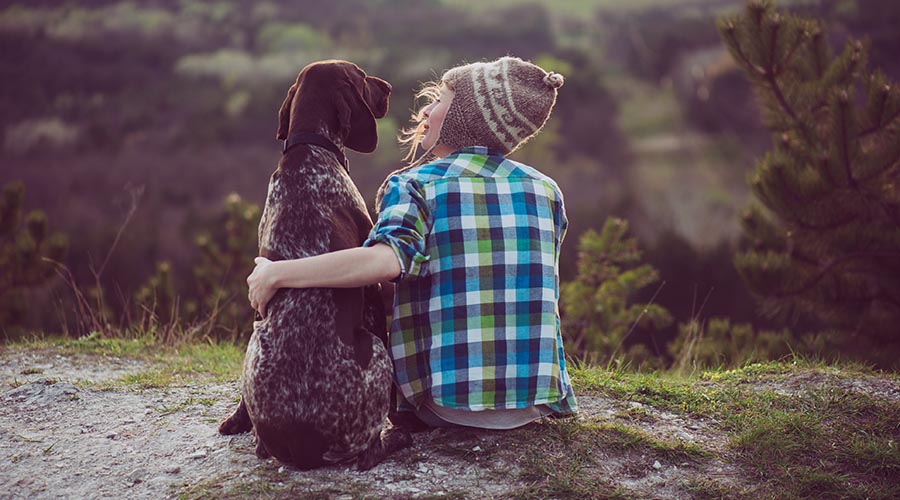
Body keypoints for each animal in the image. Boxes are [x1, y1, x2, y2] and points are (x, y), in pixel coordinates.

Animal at [220, 60, 410, 470]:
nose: (388, 86)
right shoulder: (372, 290)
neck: (308, 148)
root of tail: (304, 444)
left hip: (257, 338)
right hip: (374, 353)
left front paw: (237, 420)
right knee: (369, 450)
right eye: (362, 76)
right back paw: (393, 438)